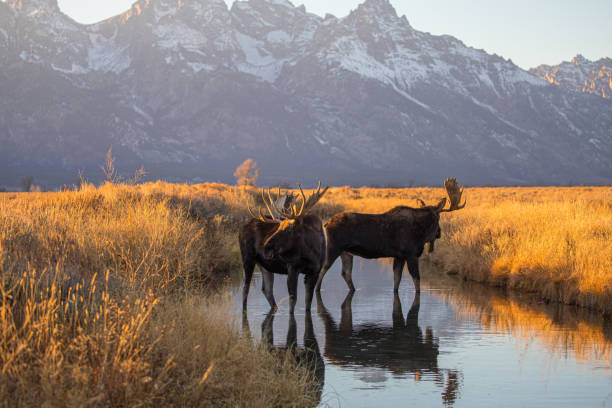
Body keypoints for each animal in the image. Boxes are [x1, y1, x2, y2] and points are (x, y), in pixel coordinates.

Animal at [238, 183, 330, 314]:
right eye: (278, 226)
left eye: (289, 228)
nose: (265, 247)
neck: (313, 253)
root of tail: (241, 227)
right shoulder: (292, 267)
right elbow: (292, 301)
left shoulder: (314, 272)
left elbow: (308, 303)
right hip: (247, 258)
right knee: (245, 289)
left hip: (265, 265)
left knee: (267, 289)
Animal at [314, 178, 466, 294]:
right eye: (438, 218)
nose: (439, 233)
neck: (421, 232)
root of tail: (326, 223)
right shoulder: (411, 255)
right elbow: (417, 282)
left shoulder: (399, 256)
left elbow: (396, 282)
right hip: (333, 248)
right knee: (322, 270)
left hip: (346, 252)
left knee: (346, 273)